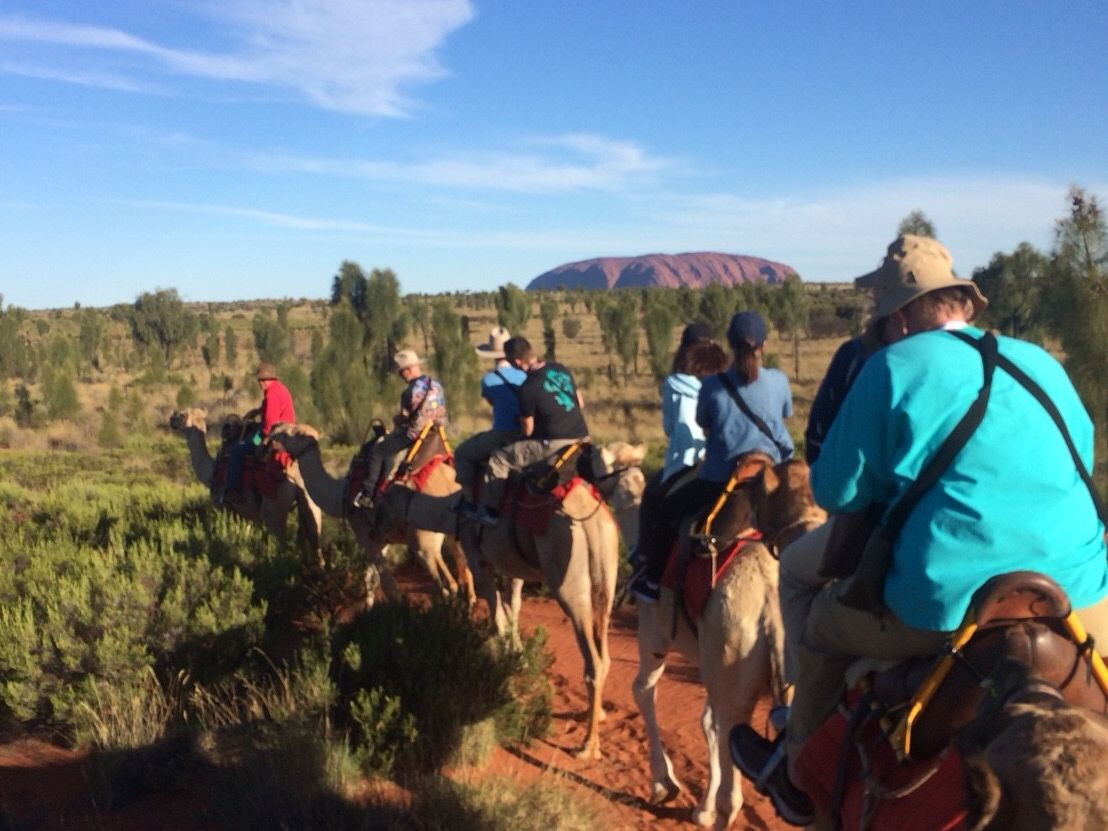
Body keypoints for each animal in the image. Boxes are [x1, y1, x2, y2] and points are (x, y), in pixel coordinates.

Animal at [168, 408, 323, 564]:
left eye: (181, 414)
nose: (172, 418)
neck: (212, 472)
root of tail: (293, 469)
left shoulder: (225, 508)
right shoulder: (246, 512)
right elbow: (245, 533)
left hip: (274, 507)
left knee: (280, 539)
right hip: (310, 497)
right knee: (314, 534)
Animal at [266, 422, 473, 606]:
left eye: (289, 434)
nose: (274, 429)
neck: (341, 493)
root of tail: (448, 482)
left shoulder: (365, 536)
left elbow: (389, 587)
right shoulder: (381, 539)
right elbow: (370, 581)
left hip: (424, 542)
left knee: (447, 584)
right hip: (454, 533)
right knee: (465, 572)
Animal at [381, 465, 621, 760]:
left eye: (386, 497)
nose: (375, 530)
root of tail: (591, 521)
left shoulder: (477, 557)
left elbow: (497, 617)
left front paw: (503, 675)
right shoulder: (513, 565)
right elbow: (512, 607)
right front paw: (518, 658)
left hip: (568, 576)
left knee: (593, 660)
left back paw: (587, 746)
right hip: (606, 572)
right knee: (604, 652)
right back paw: (595, 714)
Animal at [633, 454, 826, 829]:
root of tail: (770, 599)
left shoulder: (654, 632)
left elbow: (644, 692)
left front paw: (665, 784)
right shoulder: (713, 659)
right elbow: (707, 720)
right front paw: (700, 808)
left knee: (733, 749)